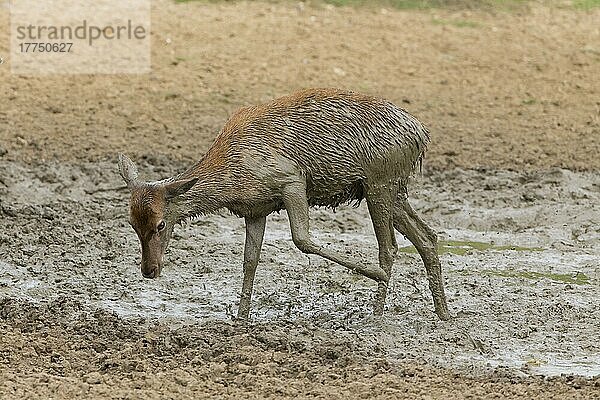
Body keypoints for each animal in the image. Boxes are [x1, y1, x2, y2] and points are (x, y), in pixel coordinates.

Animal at [118, 89, 450, 320]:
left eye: (161, 223)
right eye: (132, 223)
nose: (149, 270)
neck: (233, 176)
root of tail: (421, 133)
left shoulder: (291, 180)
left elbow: (302, 239)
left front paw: (374, 275)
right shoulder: (256, 209)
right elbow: (250, 260)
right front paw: (241, 318)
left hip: (379, 182)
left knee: (389, 246)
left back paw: (377, 311)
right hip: (395, 188)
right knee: (427, 236)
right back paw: (444, 314)